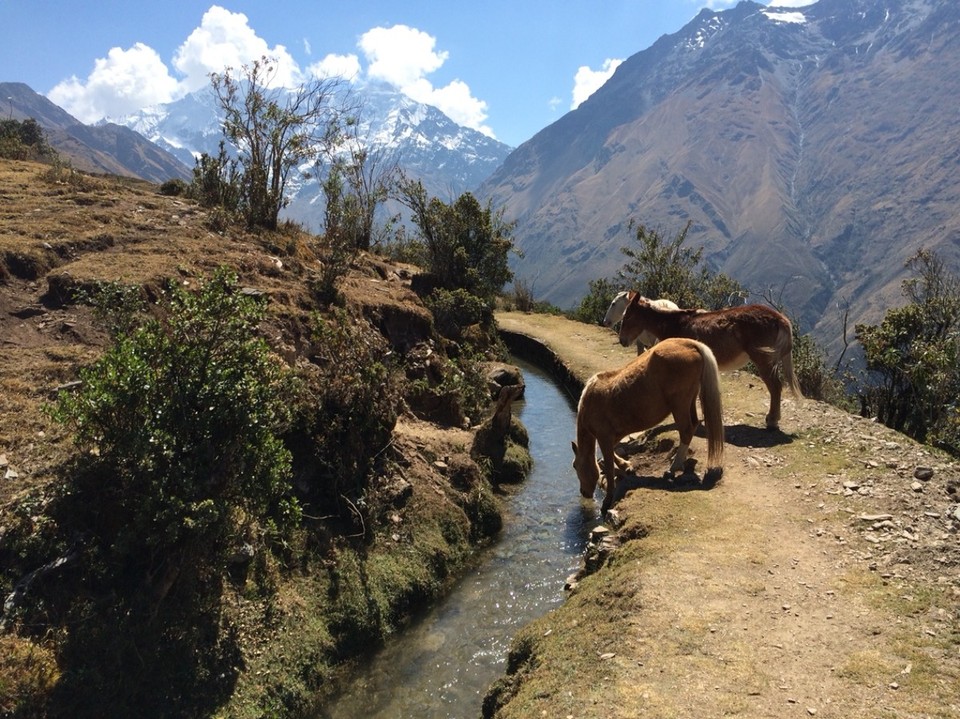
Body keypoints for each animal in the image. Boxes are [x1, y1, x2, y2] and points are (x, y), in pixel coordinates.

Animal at [568, 334, 720, 516]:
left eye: (575, 466)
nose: (584, 493)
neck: (590, 402)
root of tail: (690, 344)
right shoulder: (611, 437)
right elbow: (613, 453)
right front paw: (626, 466)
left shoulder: (604, 437)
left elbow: (610, 468)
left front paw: (606, 502)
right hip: (689, 401)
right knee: (694, 424)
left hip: (680, 405)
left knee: (686, 430)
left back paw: (672, 468)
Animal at [616, 296, 804, 430]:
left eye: (628, 316)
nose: (622, 340)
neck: (676, 324)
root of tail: (780, 318)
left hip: (763, 360)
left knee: (775, 387)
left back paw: (772, 421)